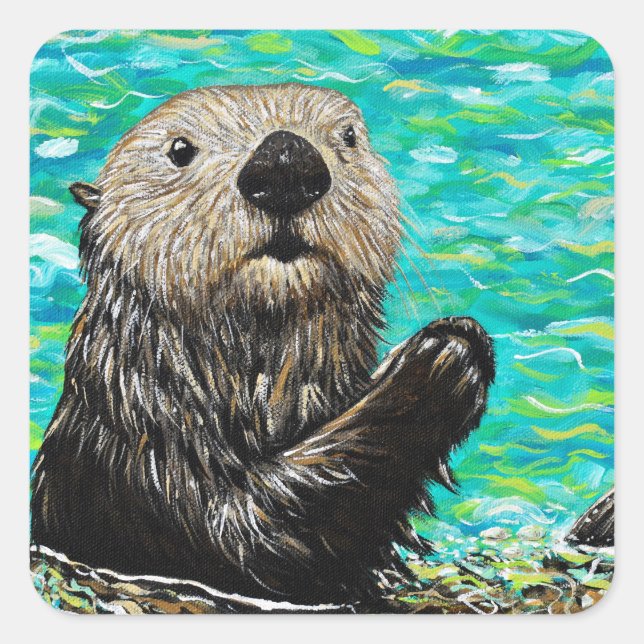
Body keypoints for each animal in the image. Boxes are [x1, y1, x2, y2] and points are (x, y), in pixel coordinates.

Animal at [31, 83, 495, 607]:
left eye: (349, 136)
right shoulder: (144, 495)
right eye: (179, 150)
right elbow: (260, 534)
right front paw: (444, 354)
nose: (285, 159)